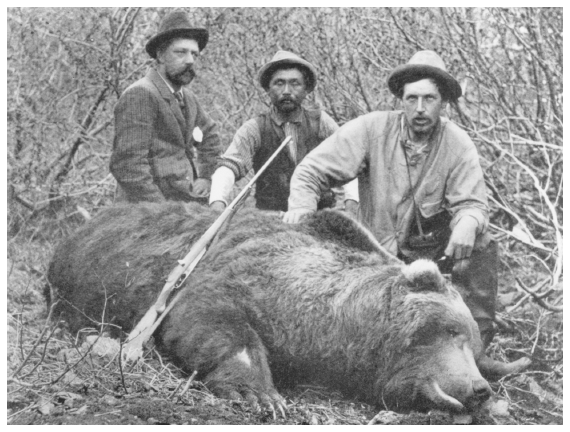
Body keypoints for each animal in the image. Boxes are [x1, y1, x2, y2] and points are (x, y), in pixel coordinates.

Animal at [47, 202, 524, 412]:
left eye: (474, 346)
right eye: (450, 330)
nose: (479, 388)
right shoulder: (235, 279)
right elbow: (211, 321)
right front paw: (259, 392)